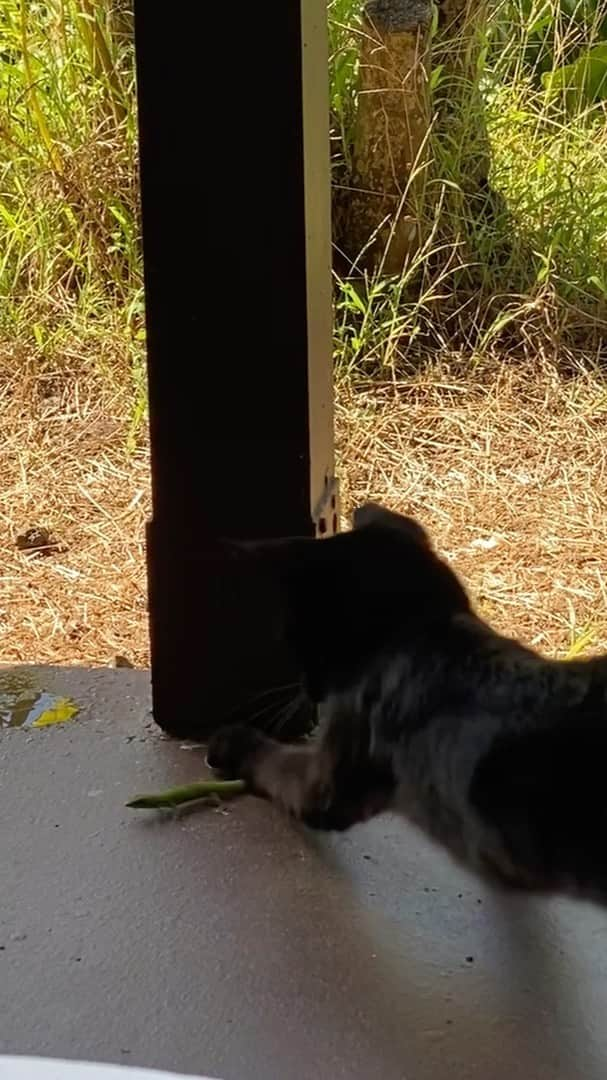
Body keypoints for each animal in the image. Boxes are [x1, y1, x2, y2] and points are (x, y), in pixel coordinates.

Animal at [206, 505, 604, 902]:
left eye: (293, 639)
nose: (310, 690)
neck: (424, 630)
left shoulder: (329, 778)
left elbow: (272, 762)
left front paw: (231, 742)